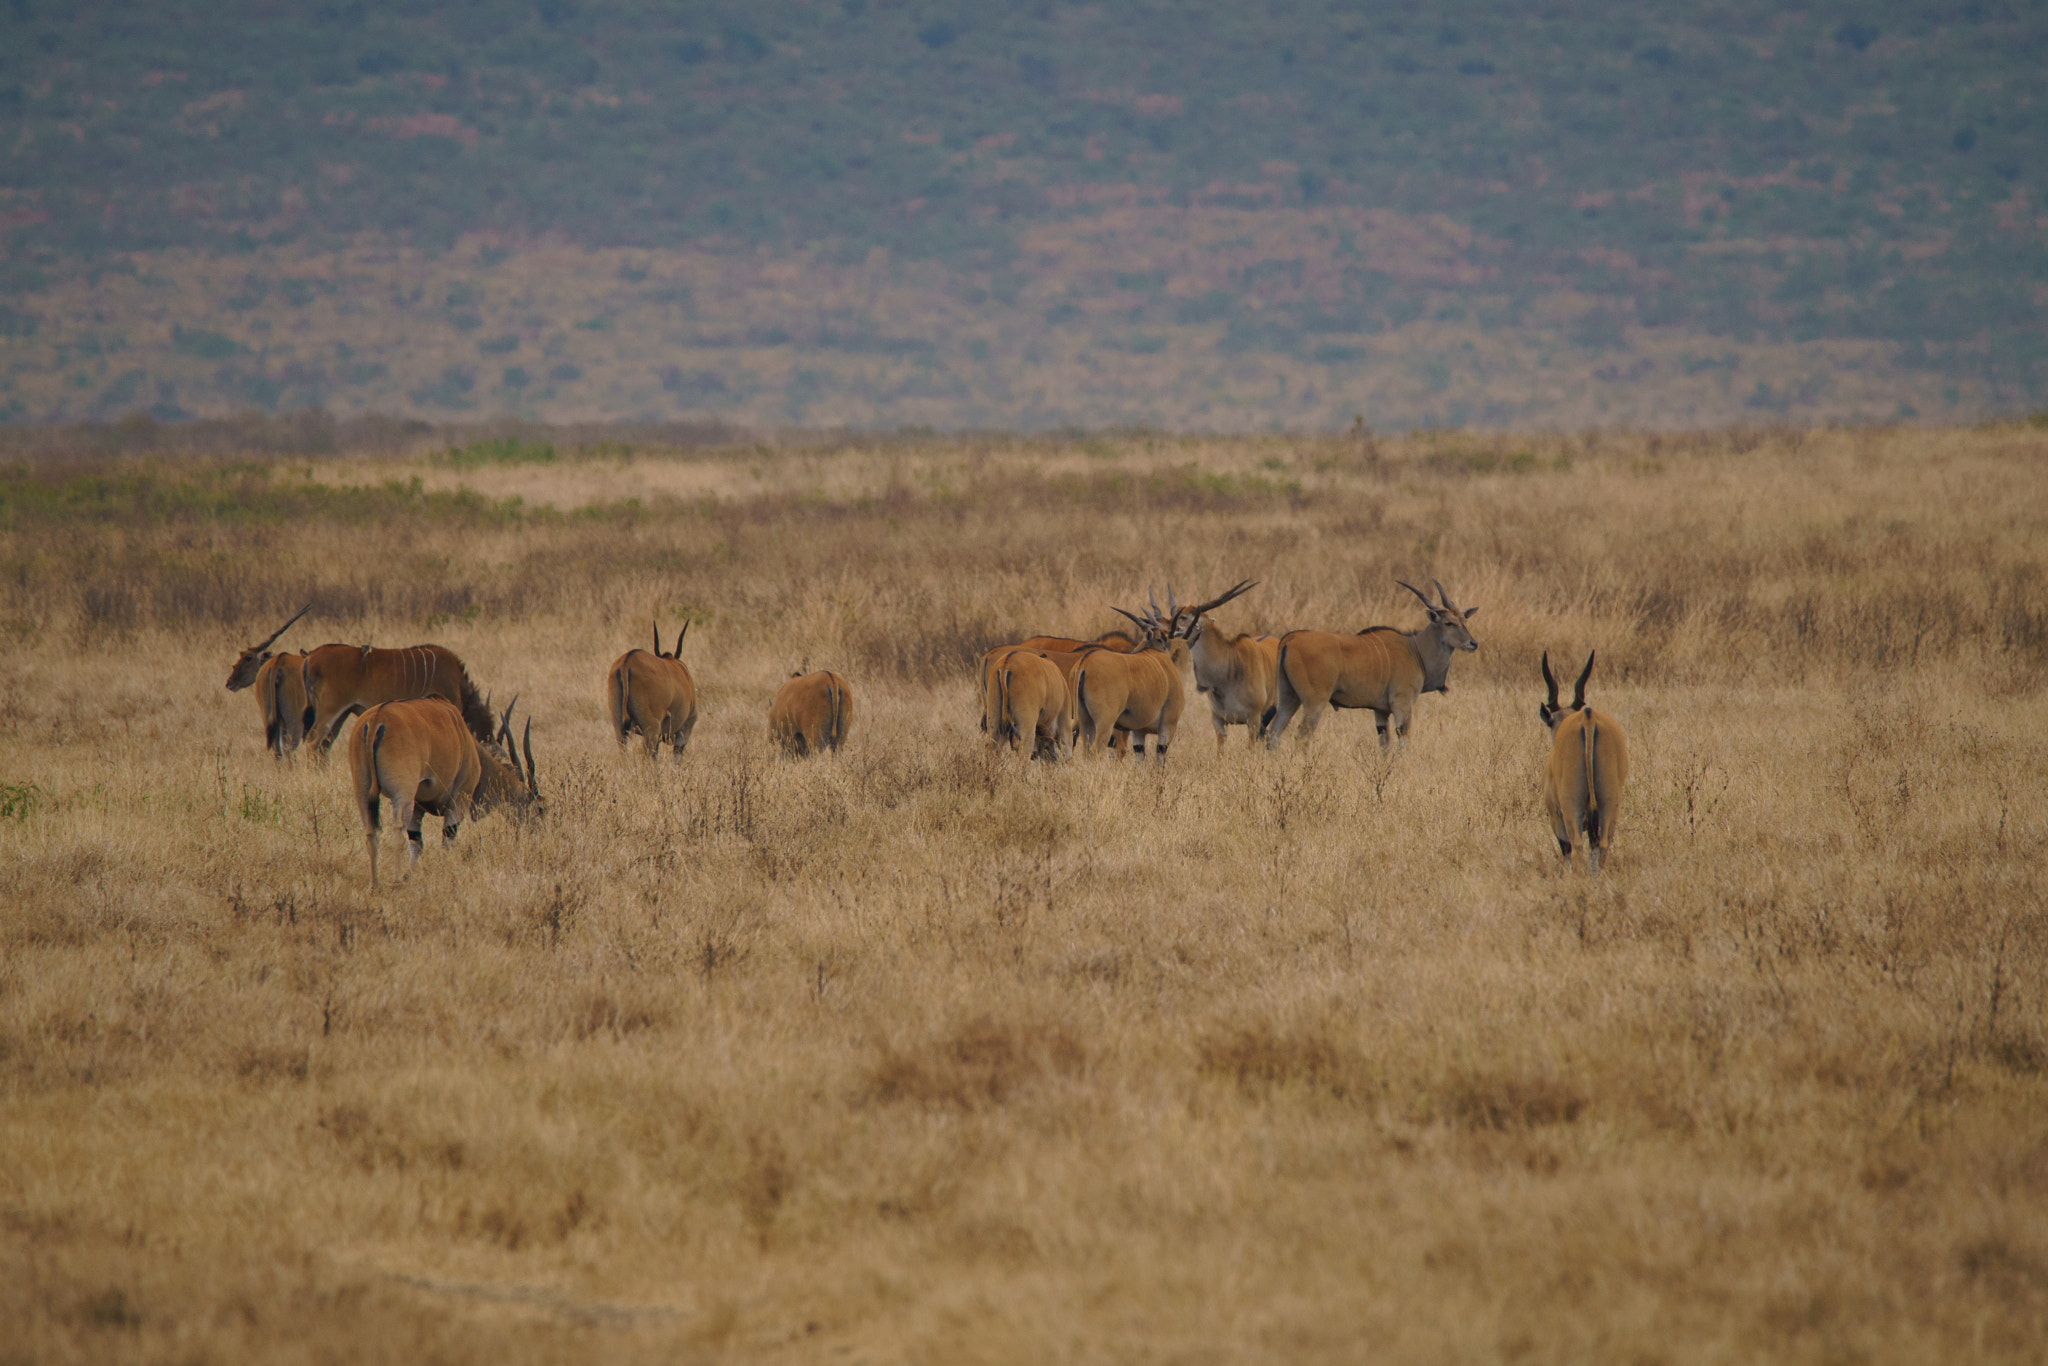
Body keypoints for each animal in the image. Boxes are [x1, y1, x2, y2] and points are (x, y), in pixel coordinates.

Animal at [1540, 655, 1630, 876]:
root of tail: (1588, 718)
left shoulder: (1556, 817)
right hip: (1609, 806)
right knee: (1603, 844)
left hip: (1572, 808)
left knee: (1577, 847)